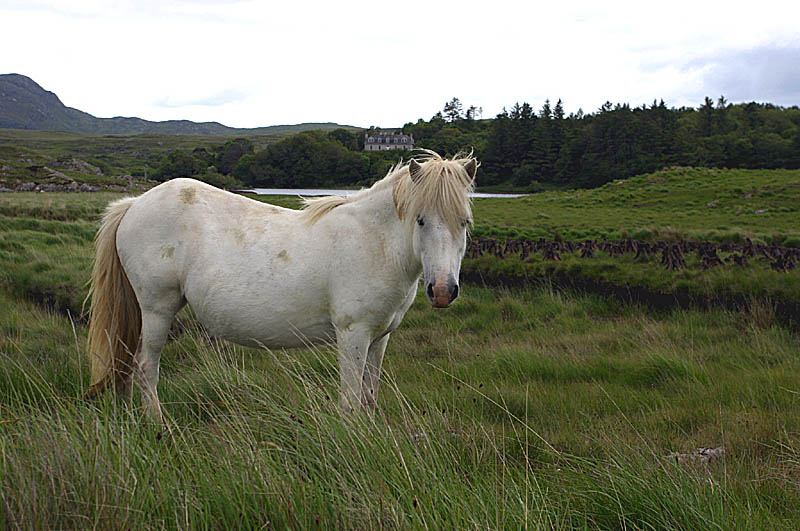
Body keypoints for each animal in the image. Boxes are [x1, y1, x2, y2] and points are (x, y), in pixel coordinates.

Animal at [86, 152, 476, 422]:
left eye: (464, 222)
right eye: (420, 220)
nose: (443, 290)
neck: (373, 240)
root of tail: (134, 204)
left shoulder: (380, 337)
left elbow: (369, 395)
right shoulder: (353, 334)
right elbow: (350, 399)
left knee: (126, 365)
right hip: (157, 310)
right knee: (145, 368)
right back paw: (158, 426)